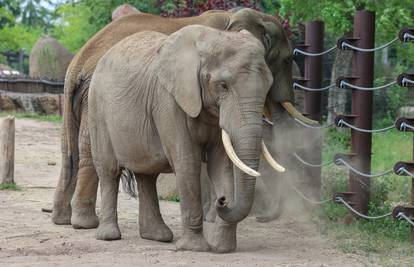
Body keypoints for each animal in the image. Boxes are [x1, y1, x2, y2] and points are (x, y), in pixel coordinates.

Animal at [52, 8, 316, 230]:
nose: (263, 218)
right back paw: (86, 223)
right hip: (98, 96)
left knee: (70, 152)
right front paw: (213, 216)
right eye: (286, 60)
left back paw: (63, 220)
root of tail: (79, 60)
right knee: (89, 150)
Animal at [88, 25, 278, 253]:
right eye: (223, 85)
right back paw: (109, 236)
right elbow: (187, 162)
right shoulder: (168, 101)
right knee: (109, 170)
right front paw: (195, 248)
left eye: (268, 87)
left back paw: (158, 237)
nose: (222, 200)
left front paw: (223, 248)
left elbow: (221, 165)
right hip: (97, 108)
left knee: (146, 174)